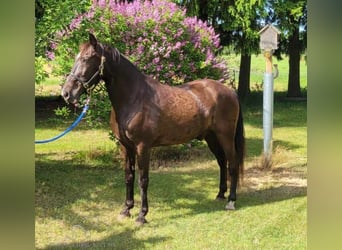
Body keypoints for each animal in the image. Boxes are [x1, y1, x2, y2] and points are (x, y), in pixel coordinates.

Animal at [61, 33, 246, 225]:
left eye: (86, 58)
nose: (67, 93)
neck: (134, 97)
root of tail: (230, 92)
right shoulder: (125, 147)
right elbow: (129, 176)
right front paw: (126, 209)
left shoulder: (143, 147)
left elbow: (143, 179)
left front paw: (142, 215)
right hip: (211, 137)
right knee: (222, 162)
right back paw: (220, 194)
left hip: (225, 136)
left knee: (232, 163)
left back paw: (231, 201)